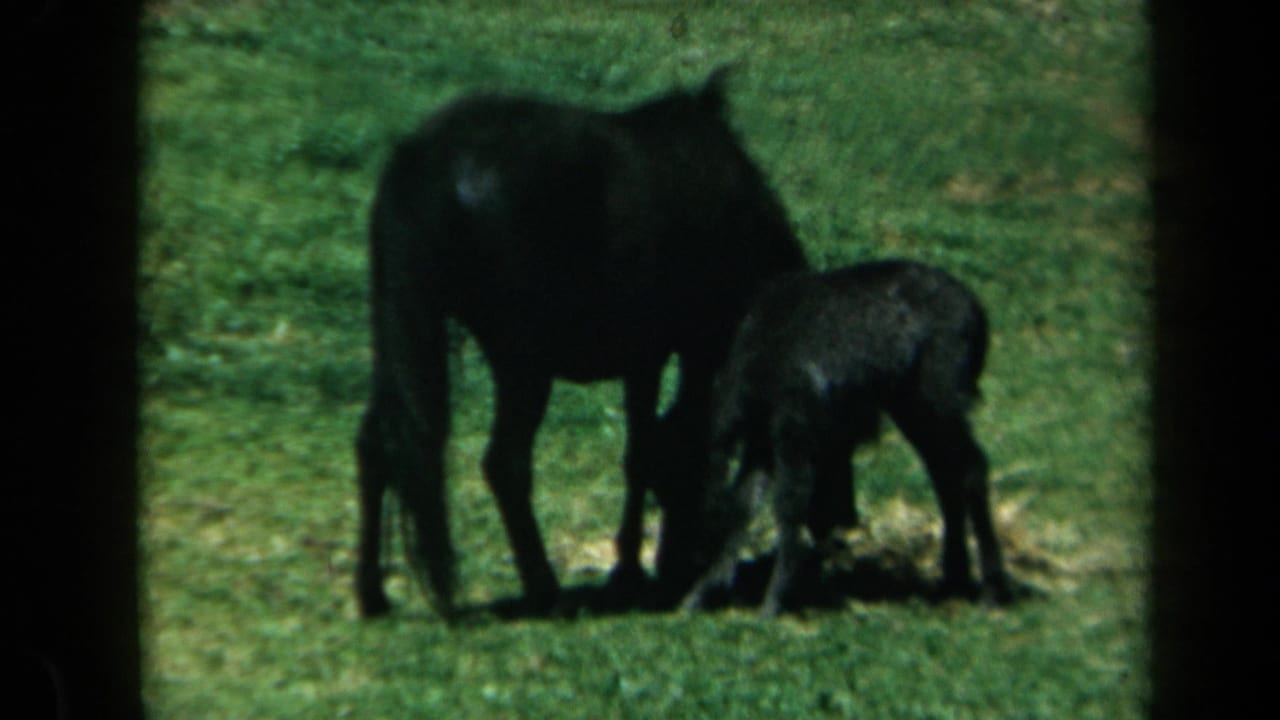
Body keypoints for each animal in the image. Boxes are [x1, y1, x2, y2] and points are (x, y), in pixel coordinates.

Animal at [354, 69, 808, 619]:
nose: (676, 570)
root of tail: (427, 157)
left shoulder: (646, 357)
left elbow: (641, 447)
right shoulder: (676, 350)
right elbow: (645, 449)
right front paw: (628, 569)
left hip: (399, 339)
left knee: (378, 443)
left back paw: (371, 592)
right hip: (522, 364)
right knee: (505, 463)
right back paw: (543, 586)